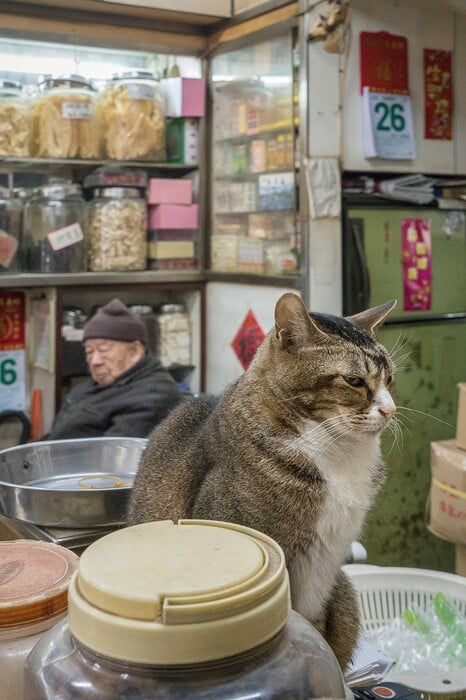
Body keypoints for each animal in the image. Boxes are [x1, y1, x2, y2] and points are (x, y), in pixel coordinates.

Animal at [127, 292, 396, 672]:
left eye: (391, 379)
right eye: (355, 381)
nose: (391, 410)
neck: (339, 452)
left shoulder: (324, 571)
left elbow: (315, 627)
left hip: (343, 594)